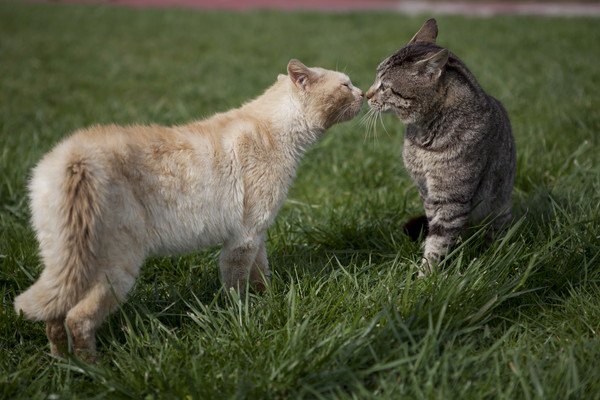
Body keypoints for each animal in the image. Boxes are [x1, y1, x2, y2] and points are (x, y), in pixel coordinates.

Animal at [15, 58, 360, 360]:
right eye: (346, 85)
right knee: (77, 319)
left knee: (54, 317)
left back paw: (63, 366)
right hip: (117, 267)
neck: (275, 131)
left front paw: (268, 304)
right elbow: (236, 288)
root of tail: (74, 158)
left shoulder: (256, 234)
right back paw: (92, 371)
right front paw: (244, 319)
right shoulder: (243, 239)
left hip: (65, 261)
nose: (363, 94)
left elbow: (262, 275)